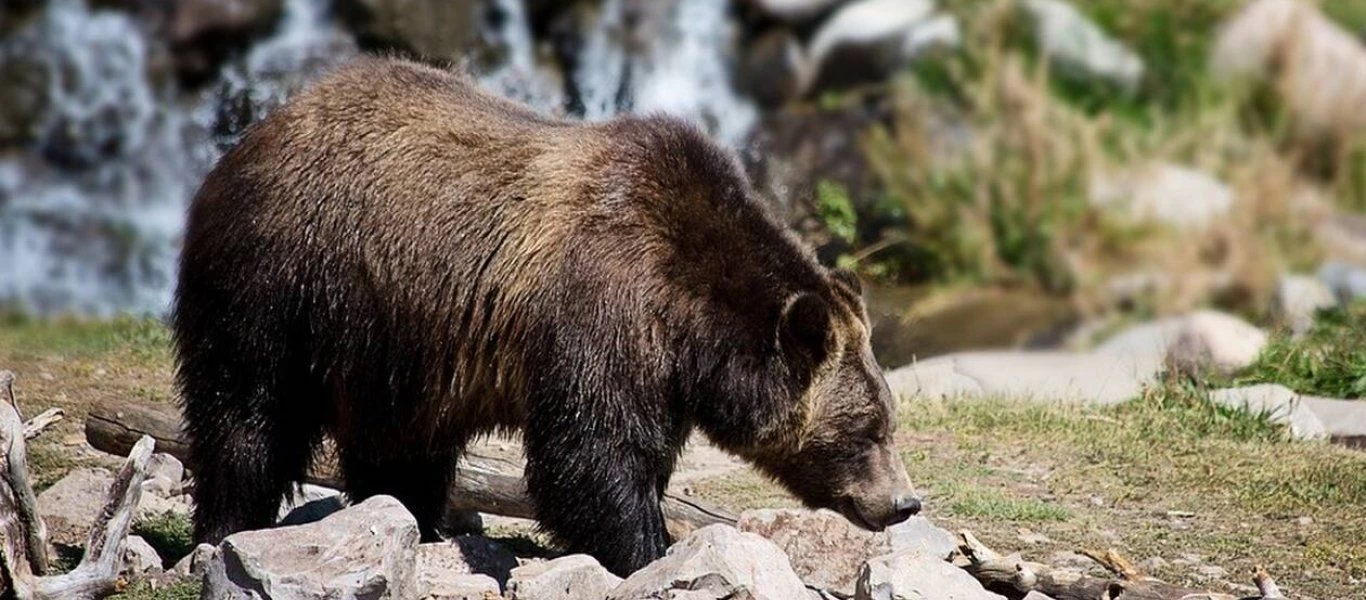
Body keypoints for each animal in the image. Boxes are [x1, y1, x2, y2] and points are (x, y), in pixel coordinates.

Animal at [173, 56, 917, 576]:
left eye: (888, 419)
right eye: (869, 429)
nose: (904, 502)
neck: (691, 322)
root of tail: (257, 132)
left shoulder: (660, 369)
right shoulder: (604, 306)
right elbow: (591, 453)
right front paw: (647, 549)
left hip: (391, 339)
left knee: (399, 442)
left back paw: (415, 518)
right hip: (282, 280)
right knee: (248, 411)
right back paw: (226, 525)